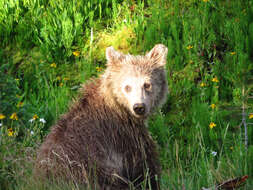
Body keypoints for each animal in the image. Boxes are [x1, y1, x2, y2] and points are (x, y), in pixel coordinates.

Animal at [34, 43, 168, 189]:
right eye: (127, 86)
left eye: (147, 84)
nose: (139, 107)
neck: (118, 106)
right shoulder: (122, 137)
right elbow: (144, 166)